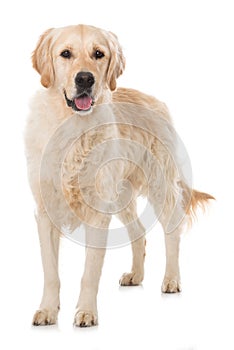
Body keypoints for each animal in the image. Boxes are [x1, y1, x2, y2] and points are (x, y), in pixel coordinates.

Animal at [24, 25, 214, 328]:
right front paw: (48, 310)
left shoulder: (98, 212)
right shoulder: (45, 211)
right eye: (65, 54)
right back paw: (136, 275)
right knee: (138, 232)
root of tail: (156, 101)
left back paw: (171, 279)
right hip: (121, 193)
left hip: (159, 185)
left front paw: (86, 312)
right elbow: (51, 272)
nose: (85, 78)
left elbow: (89, 272)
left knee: (172, 231)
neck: (72, 129)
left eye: (98, 54)